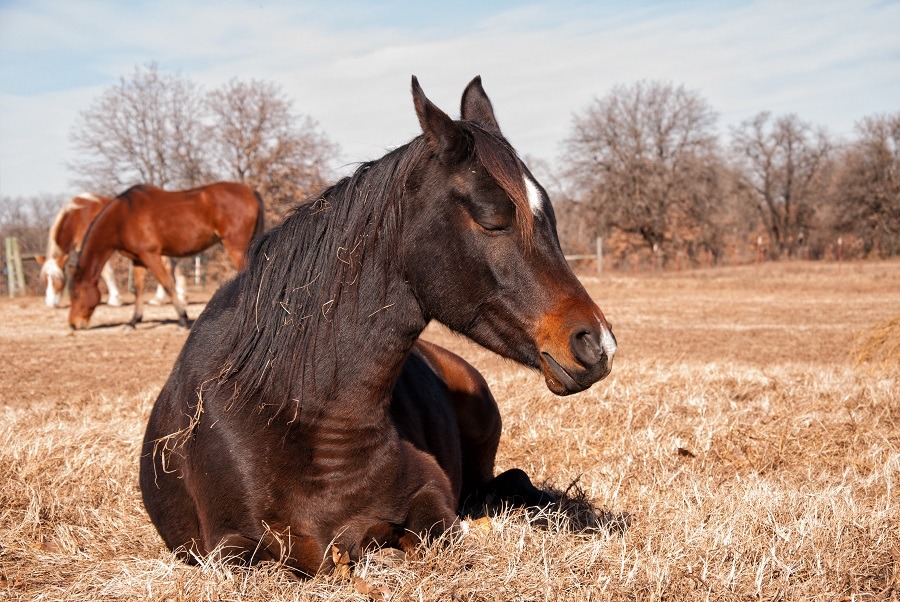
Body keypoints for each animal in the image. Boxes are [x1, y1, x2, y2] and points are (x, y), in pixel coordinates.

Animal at [141, 77, 620, 576]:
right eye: (492, 220)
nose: (597, 345)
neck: (288, 407)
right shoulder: (225, 549)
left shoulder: (431, 497)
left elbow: (431, 532)